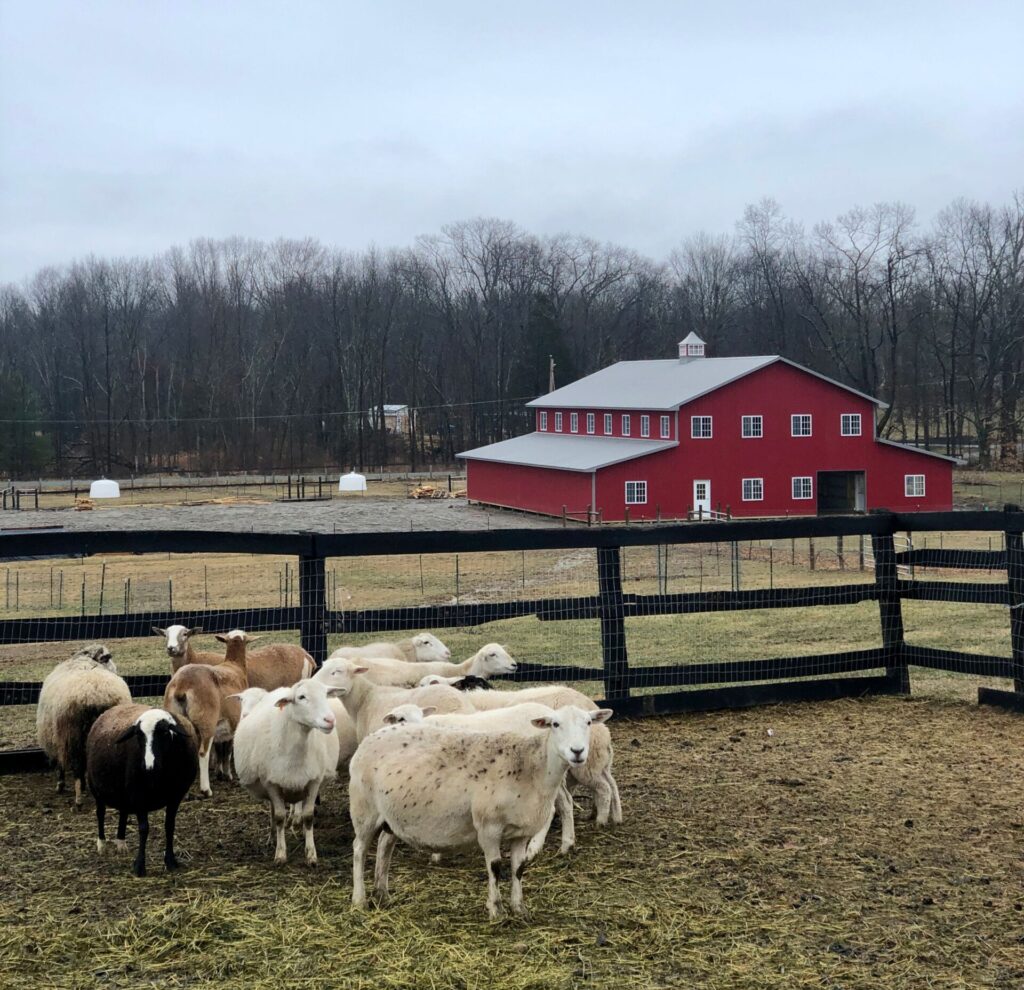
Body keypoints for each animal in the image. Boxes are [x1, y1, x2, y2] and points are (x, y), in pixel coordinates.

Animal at [36, 644, 132, 809]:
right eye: (109, 660)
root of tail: (96, 695)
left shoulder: (58, 738)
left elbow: (60, 764)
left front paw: (61, 785)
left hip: (73, 736)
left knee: (77, 767)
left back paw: (78, 799)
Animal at [85, 704, 198, 876]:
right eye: (138, 734)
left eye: (164, 732)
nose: (149, 766)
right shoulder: (138, 795)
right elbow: (144, 829)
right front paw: (140, 866)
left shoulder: (175, 795)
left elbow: (169, 826)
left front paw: (171, 861)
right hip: (96, 787)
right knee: (100, 813)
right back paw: (102, 844)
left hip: (124, 792)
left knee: (123, 811)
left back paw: (121, 843)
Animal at [162, 629, 251, 798]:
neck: (234, 665)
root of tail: (182, 685)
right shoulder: (234, 723)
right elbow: (228, 750)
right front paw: (227, 774)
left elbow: (222, 749)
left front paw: (221, 773)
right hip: (206, 722)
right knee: (203, 753)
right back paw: (206, 790)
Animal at [232, 678, 343, 865]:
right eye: (301, 697)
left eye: (325, 694)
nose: (330, 720)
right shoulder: (271, 783)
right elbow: (279, 817)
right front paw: (280, 854)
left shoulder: (313, 781)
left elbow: (308, 817)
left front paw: (311, 854)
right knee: (272, 812)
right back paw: (271, 839)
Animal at [382, 702, 577, 855]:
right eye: (400, 719)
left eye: (420, 715)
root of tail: (548, 710)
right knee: (566, 801)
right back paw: (567, 843)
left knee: (551, 809)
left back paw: (534, 846)